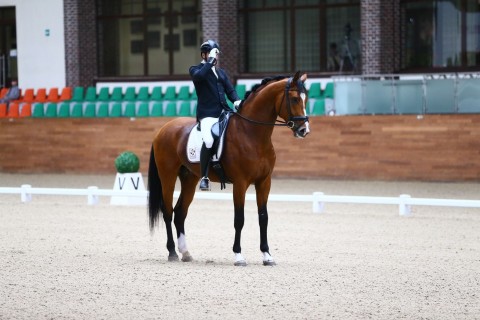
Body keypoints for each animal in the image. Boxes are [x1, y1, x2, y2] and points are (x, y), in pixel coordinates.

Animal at [148, 71, 310, 266]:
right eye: (294, 99)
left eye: (306, 98)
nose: (304, 130)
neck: (251, 134)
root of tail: (163, 129)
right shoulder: (240, 183)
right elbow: (239, 219)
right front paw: (238, 255)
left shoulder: (264, 182)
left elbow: (263, 217)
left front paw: (267, 255)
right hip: (168, 176)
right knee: (167, 211)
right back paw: (172, 252)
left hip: (190, 178)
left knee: (180, 212)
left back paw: (185, 253)